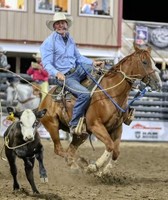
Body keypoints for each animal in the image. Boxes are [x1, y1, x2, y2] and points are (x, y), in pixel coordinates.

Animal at [38, 45, 163, 175]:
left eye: (154, 63)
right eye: (144, 62)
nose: (158, 83)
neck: (111, 92)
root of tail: (45, 99)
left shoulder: (117, 128)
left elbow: (116, 151)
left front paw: (104, 171)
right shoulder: (96, 126)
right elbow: (110, 145)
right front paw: (94, 167)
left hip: (81, 135)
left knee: (70, 151)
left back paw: (77, 165)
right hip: (52, 125)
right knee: (60, 150)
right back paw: (82, 163)